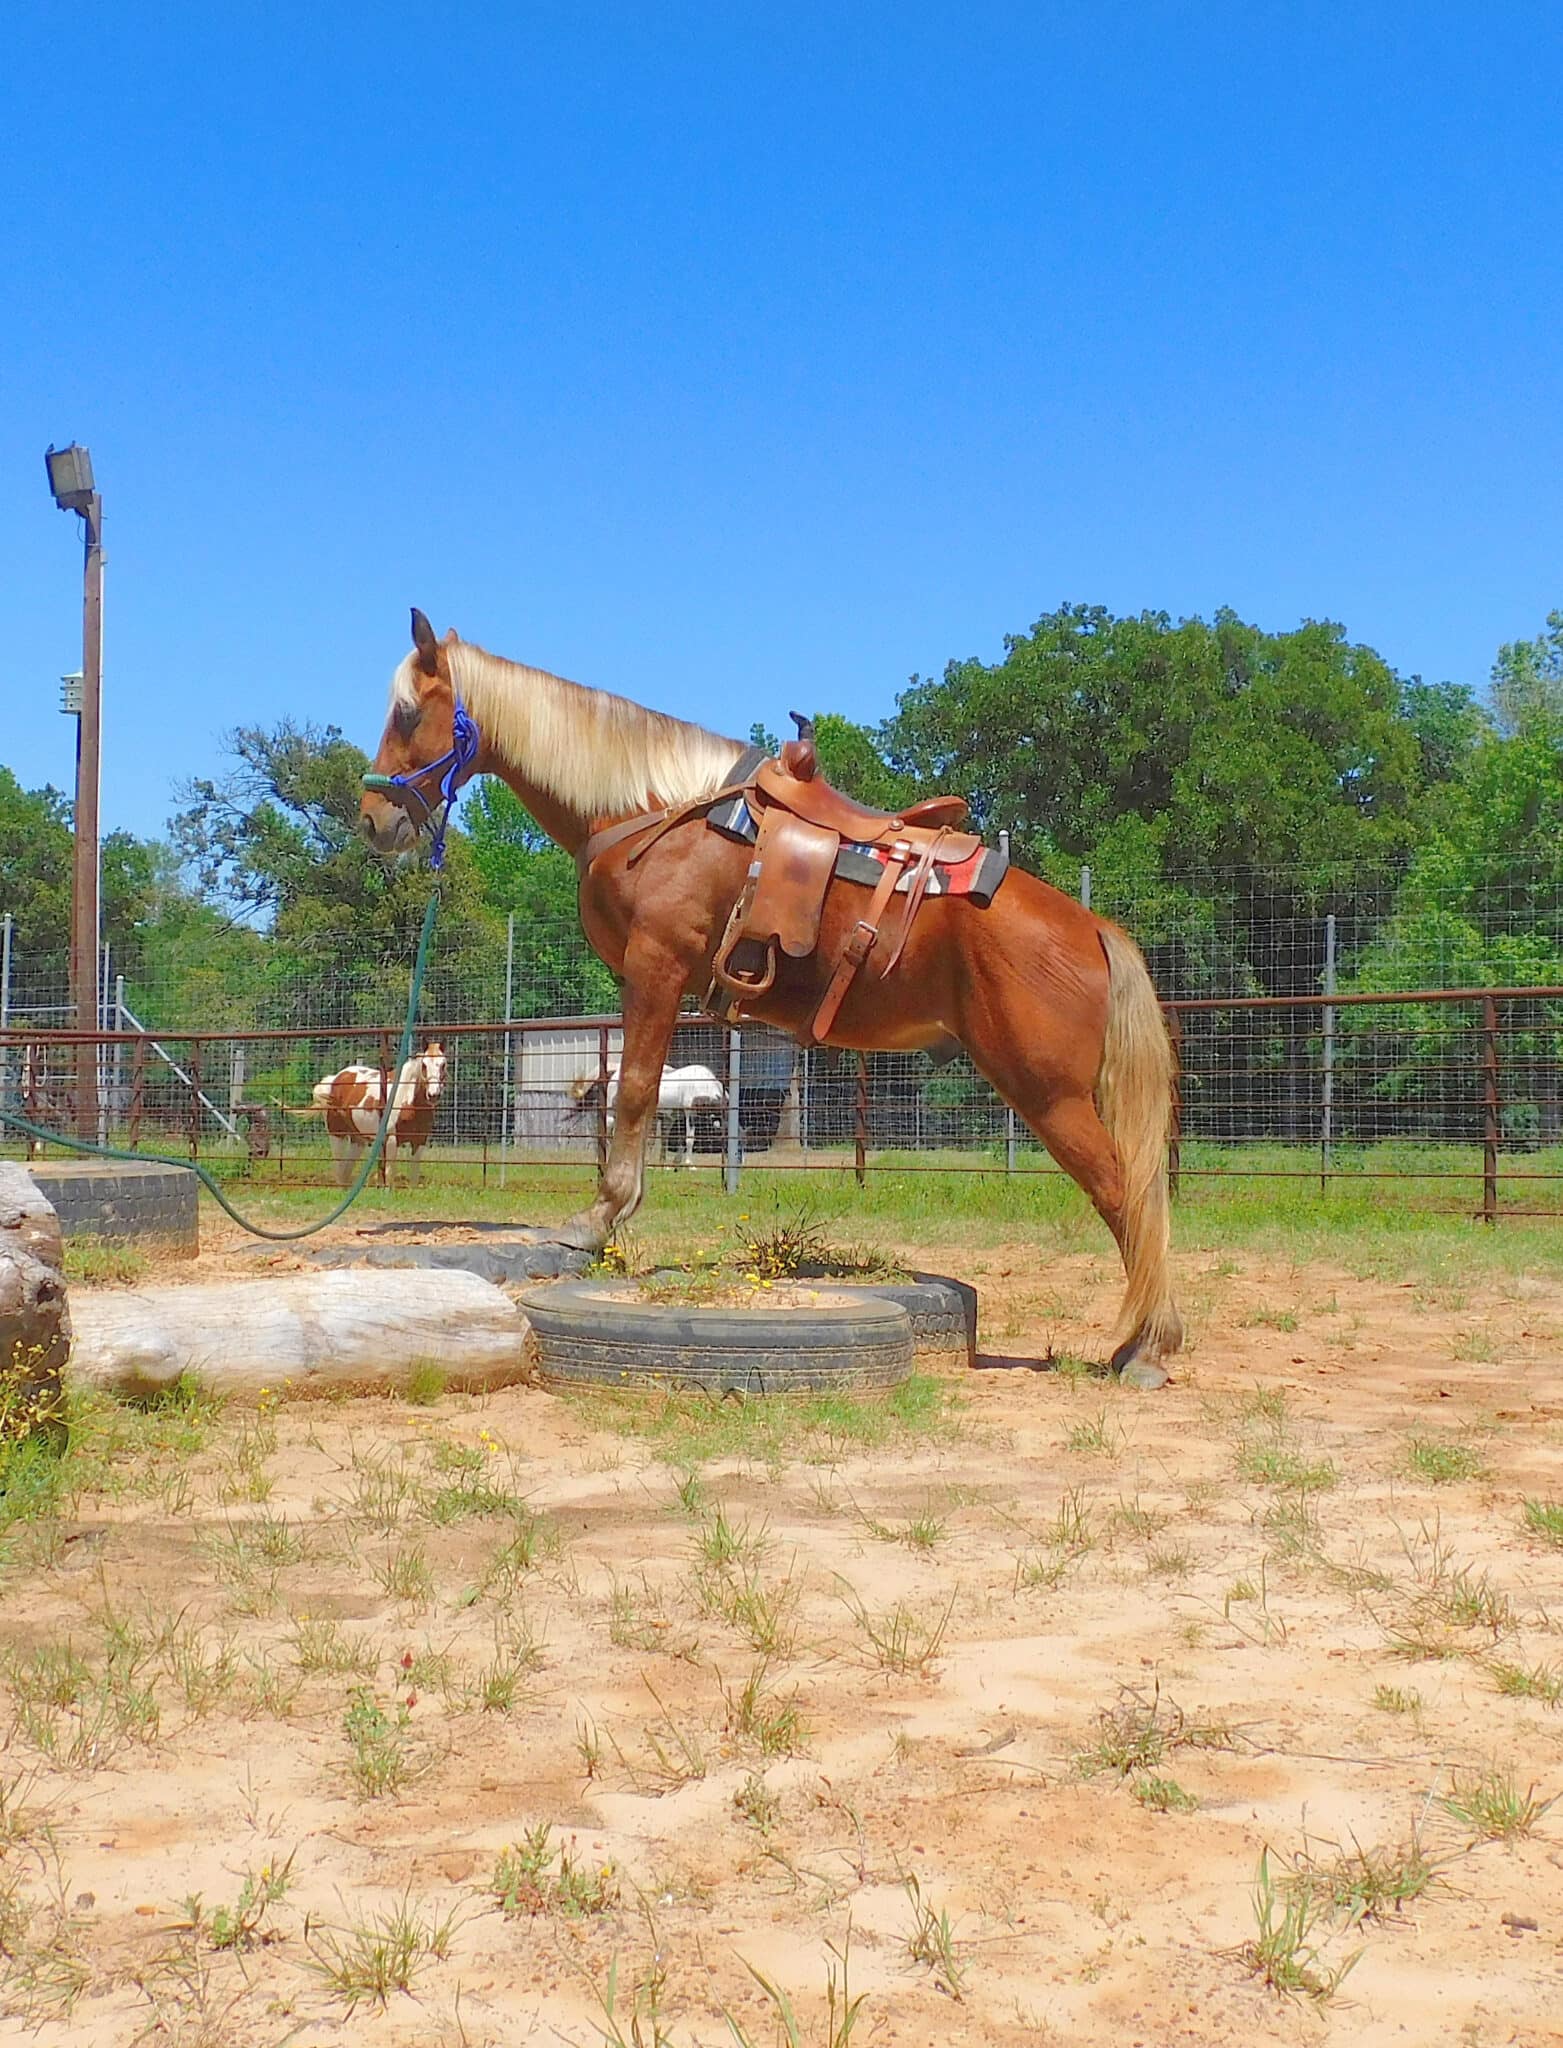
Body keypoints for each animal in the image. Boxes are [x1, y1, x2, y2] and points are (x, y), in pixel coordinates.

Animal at [311, 1042, 446, 1187]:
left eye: (443, 1064)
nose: (433, 1094)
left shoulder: (419, 1141)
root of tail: (334, 1079)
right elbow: (389, 1174)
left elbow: (414, 1177)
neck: (407, 1100)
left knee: (345, 1171)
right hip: (337, 1134)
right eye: (424, 1065)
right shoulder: (391, 1140)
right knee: (339, 1170)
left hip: (358, 1140)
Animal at [570, 1062, 726, 1167]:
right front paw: (689, 1164)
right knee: (604, 1134)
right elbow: (689, 1138)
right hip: (610, 1115)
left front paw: (670, 1165)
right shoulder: (689, 1113)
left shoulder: (673, 1116)